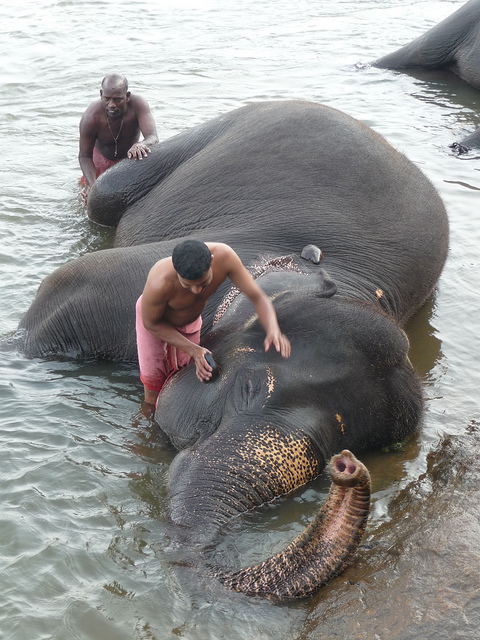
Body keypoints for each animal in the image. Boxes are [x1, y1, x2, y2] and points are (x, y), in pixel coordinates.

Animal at [16, 100, 449, 598]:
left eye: (341, 449)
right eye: (246, 388)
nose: (347, 466)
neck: (348, 281)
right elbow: (64, 285)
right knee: (105, 193)